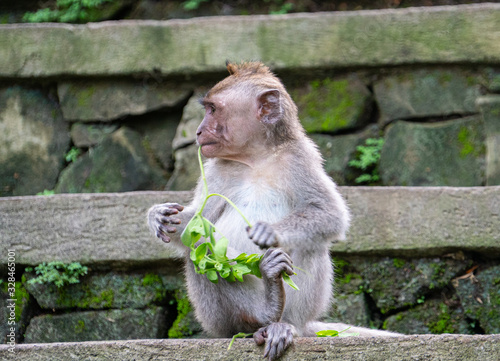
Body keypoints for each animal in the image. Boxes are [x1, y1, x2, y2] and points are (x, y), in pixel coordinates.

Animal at [147, 60, 398, 358]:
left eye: (213, 109)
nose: (198, 130)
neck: (257, 157)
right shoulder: (216, 170)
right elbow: (199, 224)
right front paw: (159, 216)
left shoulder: (300, 158)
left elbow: (329, 213)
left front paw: (268, 232)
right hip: (222, 316)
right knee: (202, 250)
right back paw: (259, 315)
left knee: (311, 243)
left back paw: (281, 318)